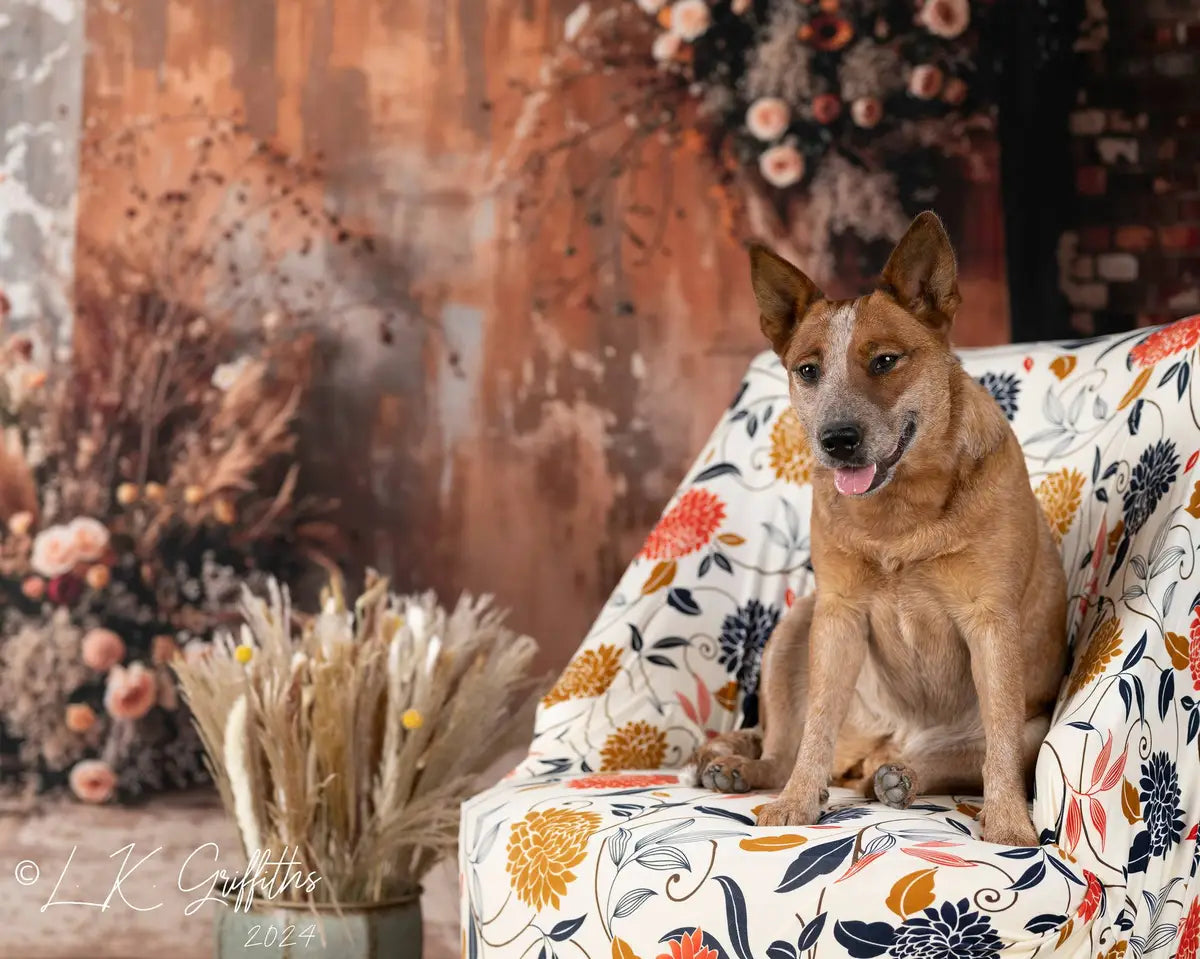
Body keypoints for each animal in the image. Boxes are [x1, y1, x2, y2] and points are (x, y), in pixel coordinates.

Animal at [696, 212, 1070, 849]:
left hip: (1034, 722)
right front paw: (796, 802)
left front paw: (1008, 823)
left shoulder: (991, 622)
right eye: (808, 370)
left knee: (960, 756)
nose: (837, 439)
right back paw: (745, 770)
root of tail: (879, 745)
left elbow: (997, 738)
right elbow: (816, 723)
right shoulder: (838, 614)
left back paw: (900, 777)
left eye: (885, 361)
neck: (899, 516)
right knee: (784, 747)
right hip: (793, 628)